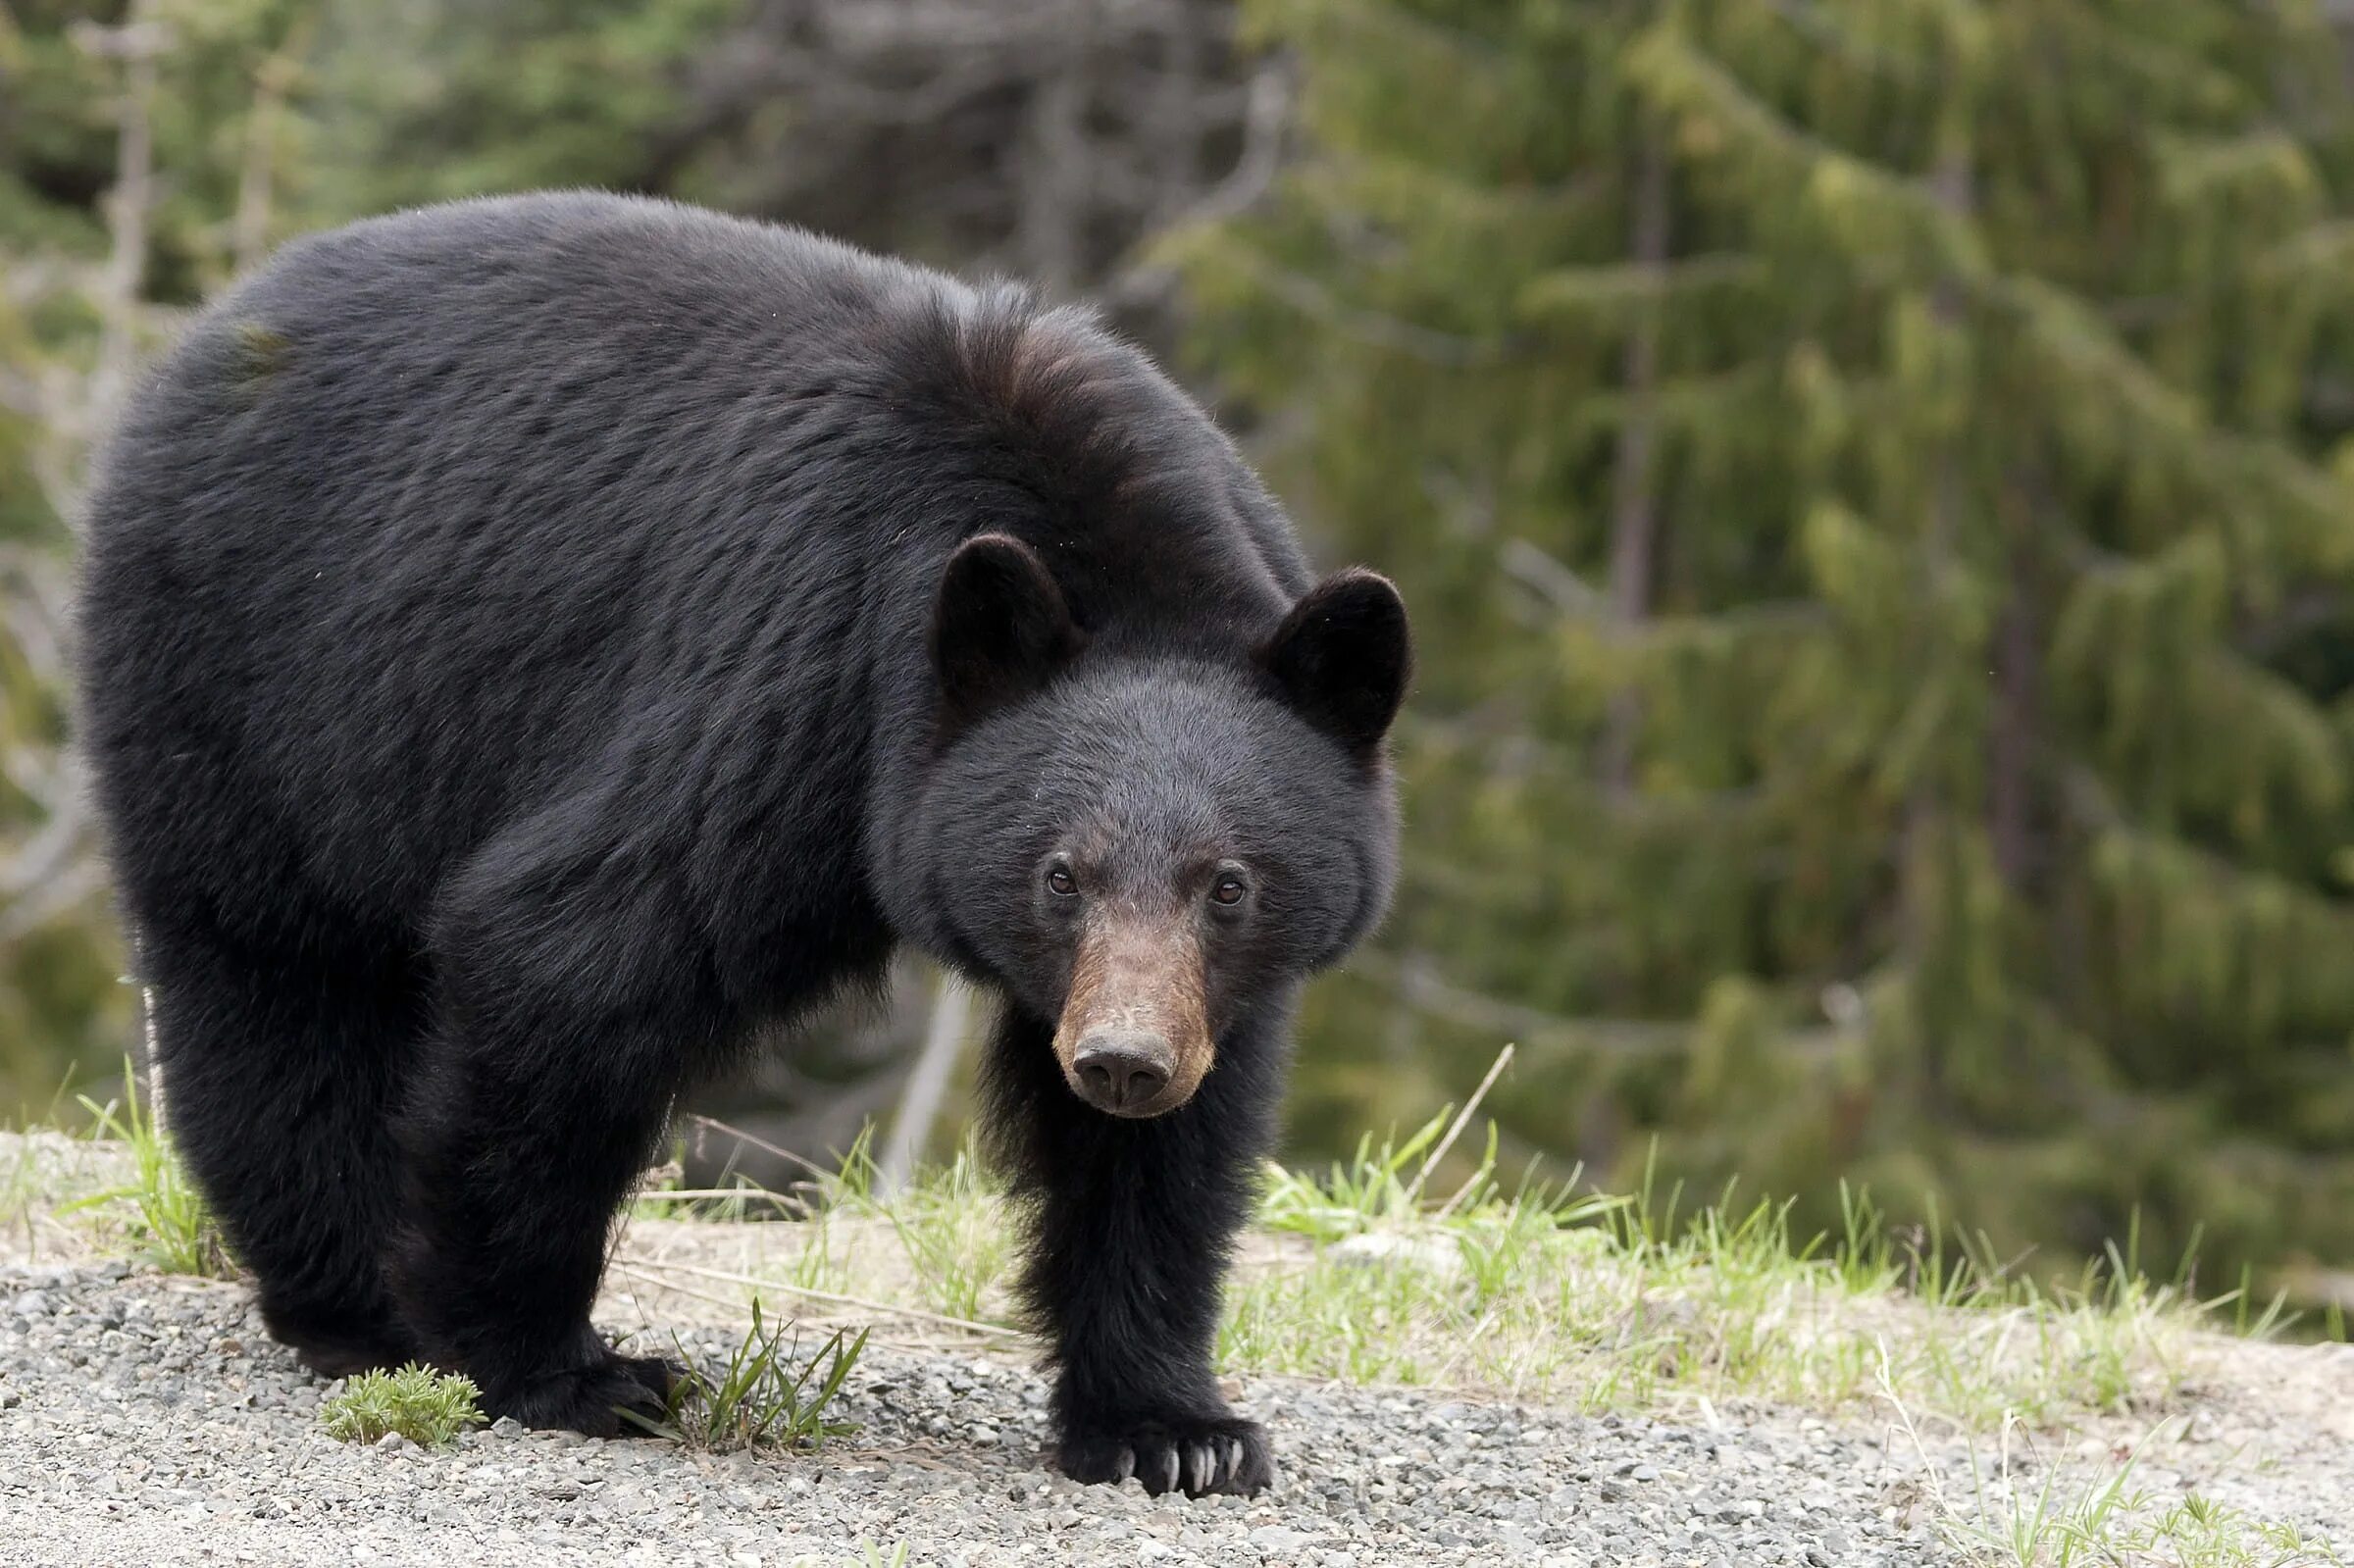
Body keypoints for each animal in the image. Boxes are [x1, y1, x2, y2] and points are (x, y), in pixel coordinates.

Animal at [74, 191, 1403, 1488]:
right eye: (1059, 876)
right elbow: (574, 959)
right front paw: (558, 1368)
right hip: (251, 680)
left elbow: (1160, 1159)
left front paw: (1172, 1427)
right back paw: (353, 1305)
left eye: (1228, 884)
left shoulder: (1189, 985)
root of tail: (215, 328)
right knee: (280, 986)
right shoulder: (794, 678)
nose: (1123, 1059)